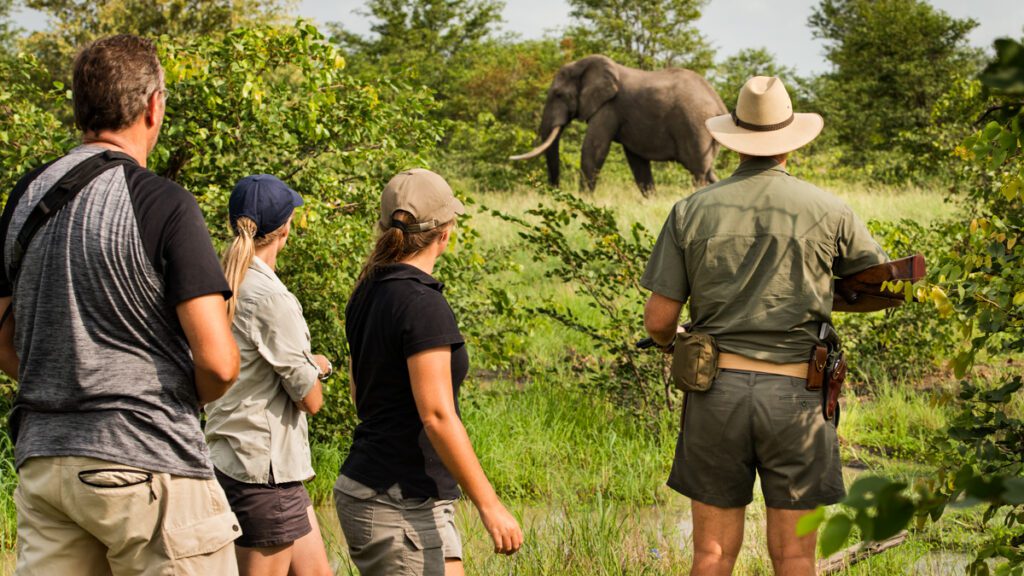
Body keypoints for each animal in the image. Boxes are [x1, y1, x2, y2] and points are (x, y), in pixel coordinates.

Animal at [510, 55, 728, 196]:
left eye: (558, 95)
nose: (554, 191)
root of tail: (719, 104)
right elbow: (636, 160)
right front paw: (650, 200)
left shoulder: (608, 106)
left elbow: (593, 149)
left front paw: (584, 200)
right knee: (708, 171)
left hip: (696, 126)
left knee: (698, 172)